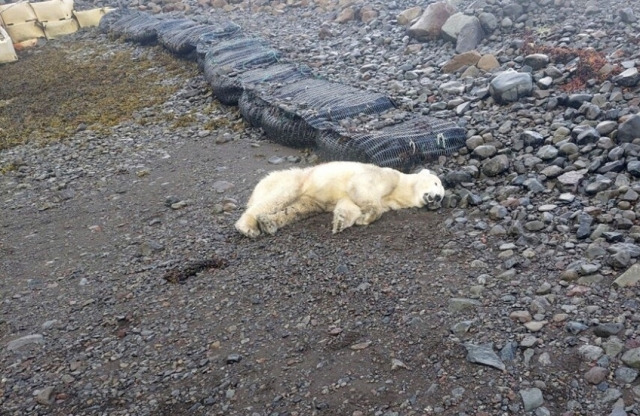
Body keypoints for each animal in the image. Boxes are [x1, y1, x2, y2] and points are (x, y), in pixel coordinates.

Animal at [234, 161, 444, 237]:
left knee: (297, 210)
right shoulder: (384, 176)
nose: (437, 198)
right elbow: (362, 188)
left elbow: (349, 204)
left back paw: (268, 223)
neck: (400, 188)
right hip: (294, 180)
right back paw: (248, 227)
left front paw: (342, 222)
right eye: (436, 183)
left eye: (442, 196)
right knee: (278, 197)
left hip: (309, 199)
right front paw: (366, 217)